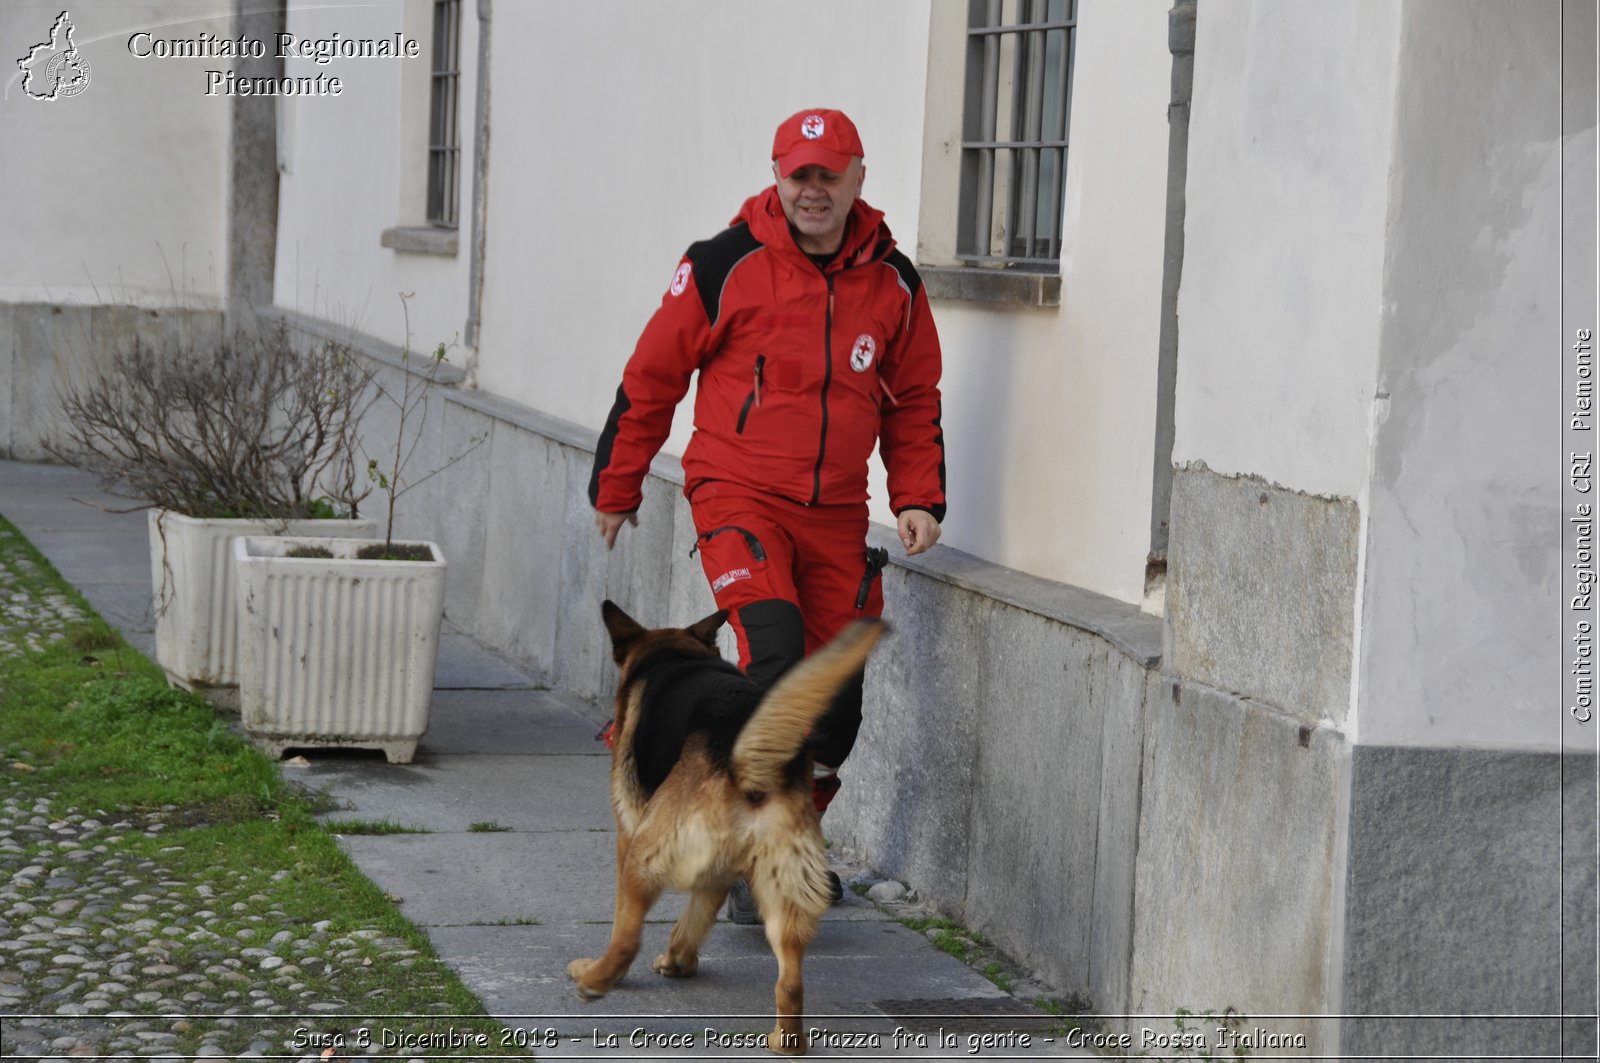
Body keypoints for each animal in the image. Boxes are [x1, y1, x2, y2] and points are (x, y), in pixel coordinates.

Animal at [569, 598, 889, 1056]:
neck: (676, 655)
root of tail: (746, 759)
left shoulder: (628, 836)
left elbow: (628, 923)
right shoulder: (717, 870)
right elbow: (695, 918)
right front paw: (679, 961)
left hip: (643, 858)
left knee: (627, 940)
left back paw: (595, 978)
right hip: (786, 890)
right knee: (790, 982)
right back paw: (786, 1040)